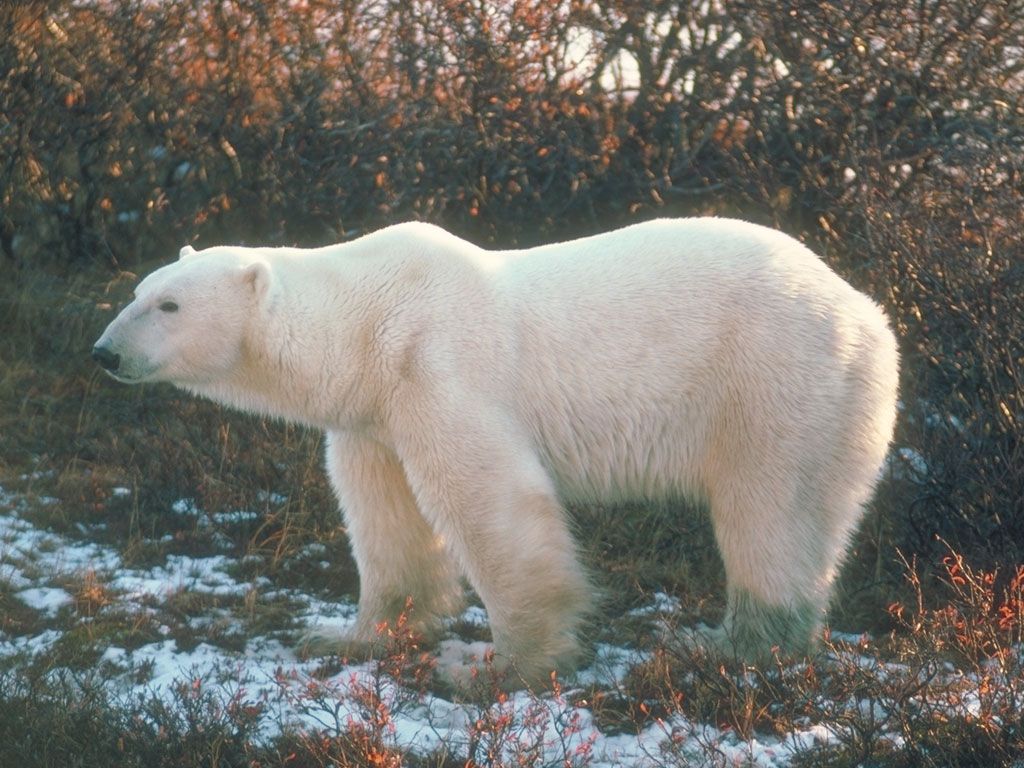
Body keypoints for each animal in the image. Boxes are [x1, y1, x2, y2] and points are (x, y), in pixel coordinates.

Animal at [94, 219, 897, 688]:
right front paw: (349, 634)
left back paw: (730, 644)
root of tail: (868, 310)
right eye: (139, 289)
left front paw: (499, 666)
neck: (366, 321)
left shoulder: (439, 367)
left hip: (776, 379)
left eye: (169, 306)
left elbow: (493, 502)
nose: (104, 353)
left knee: (770, 510)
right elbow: (385, 519)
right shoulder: (373, 412)